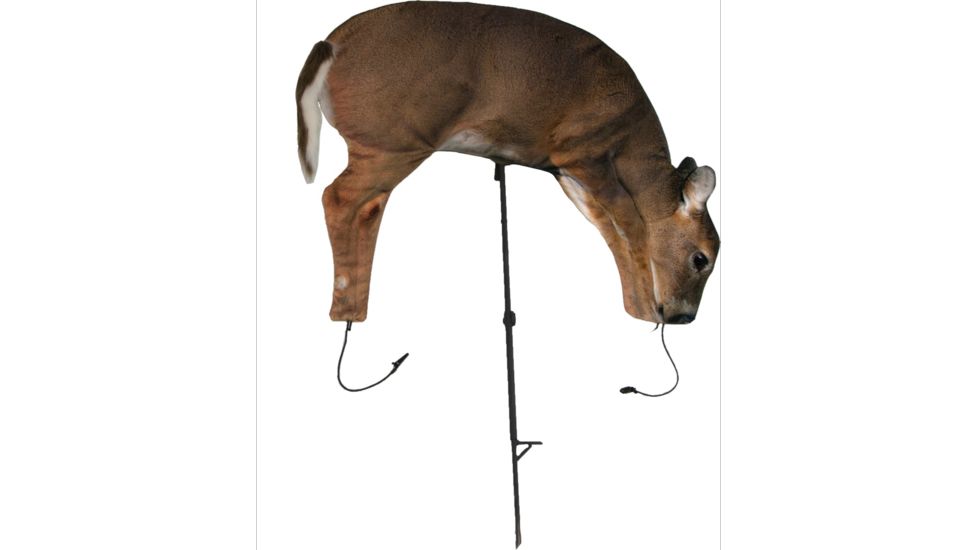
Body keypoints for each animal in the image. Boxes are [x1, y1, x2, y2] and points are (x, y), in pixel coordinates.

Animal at [296, 1, 719, 327]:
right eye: (701, 258)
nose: (683, 317)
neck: (633, 144)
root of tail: (329, 44)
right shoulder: (585, 148)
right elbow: (632, 225)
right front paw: (648, 312)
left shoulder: (565, 170)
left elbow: (609, 231)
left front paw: (636, 311)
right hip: (397, 138)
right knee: (337, 197)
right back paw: (344, 311)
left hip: (383, 142)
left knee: (367, 206)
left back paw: (354, 310)